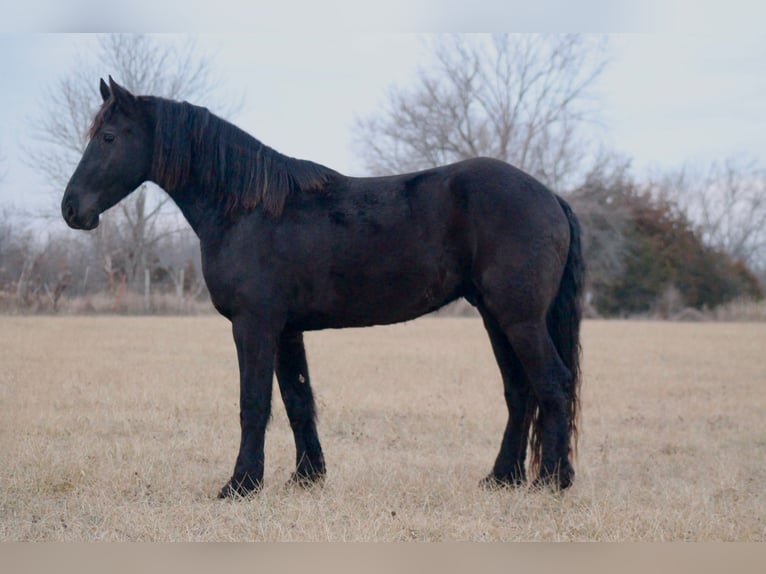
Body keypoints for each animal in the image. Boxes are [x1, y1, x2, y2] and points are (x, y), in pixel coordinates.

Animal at [61, 77, 588, 500]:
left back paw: (552, 481)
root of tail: (550, 196)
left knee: (552, 383)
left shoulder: (254, 325)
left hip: (519, 318)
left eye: (108, 137)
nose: (71, 209)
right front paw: (306, 477)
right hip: (496, 317)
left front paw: (240, 485)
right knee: (519, 390)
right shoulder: (286, 330)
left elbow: (254, 403)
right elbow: (298, 399)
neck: (247, 209)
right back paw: (502, 478)